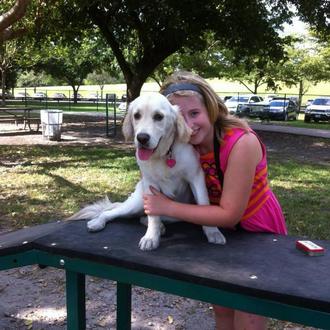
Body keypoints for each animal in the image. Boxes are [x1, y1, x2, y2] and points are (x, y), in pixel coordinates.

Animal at [68, 93, 226, 250]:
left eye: (159, 117)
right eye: (136, 115)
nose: (142, 138)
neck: (164, 155)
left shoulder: (196, 177)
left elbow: (203, 203)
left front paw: (213, 232)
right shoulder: (150, 184)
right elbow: (153, 216)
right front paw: (151, 237)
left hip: (176, 213)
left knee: (144, 217)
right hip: (136, 203)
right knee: (109, 212)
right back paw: (98, 222)